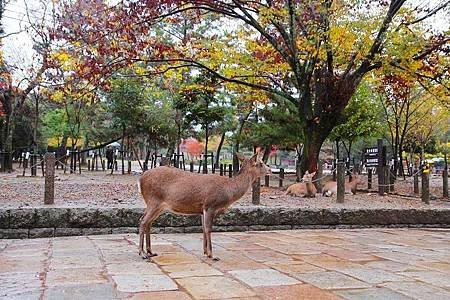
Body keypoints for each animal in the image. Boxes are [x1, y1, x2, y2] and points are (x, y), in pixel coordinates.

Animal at [137, 152, 270, 260]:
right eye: (261, 163)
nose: (270, 170)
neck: (228, 190)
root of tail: (140, 179)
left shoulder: (202, 210)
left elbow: (203, 228)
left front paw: (205, 252)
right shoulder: (210, 205)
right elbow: (208, 228)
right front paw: (212, 255)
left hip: (157, 206)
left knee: (147, 222)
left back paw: (150, 252)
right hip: (153, 201)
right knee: (143, 221)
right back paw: (142, 253)